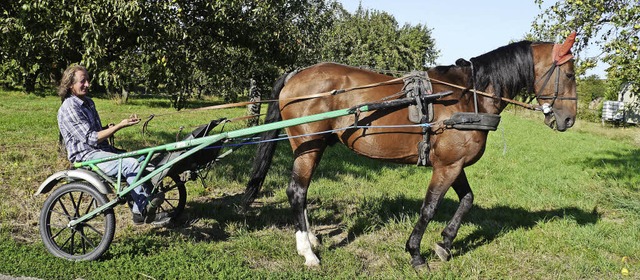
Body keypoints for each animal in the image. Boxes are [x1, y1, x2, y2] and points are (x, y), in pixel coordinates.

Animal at [242, 31, 576, 270]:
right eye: (571, 74)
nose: (569, 119)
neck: (468, 96)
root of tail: (296, 74)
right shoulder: (447, 166)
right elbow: (429, 207)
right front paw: (416, 252)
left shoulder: (454, 164)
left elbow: (467, 200)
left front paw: (445, 244)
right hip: (307, 145)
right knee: (297, 191)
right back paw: (308, 252)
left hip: (316, 145)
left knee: (302, 191)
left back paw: (311, 238)